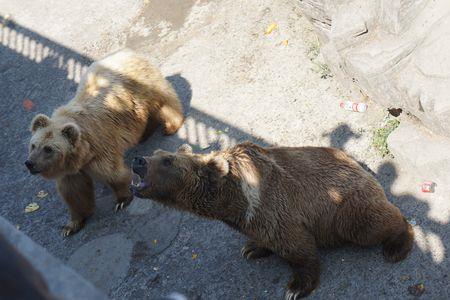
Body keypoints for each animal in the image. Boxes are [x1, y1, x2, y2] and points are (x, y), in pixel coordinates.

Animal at [25, 49, 184, 237]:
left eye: (48, 149)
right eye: (33, 145)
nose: (29, 163)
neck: (81, 154)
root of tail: (127, 51)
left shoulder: (99, 146)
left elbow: (111, 173)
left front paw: (122, 199)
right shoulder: (72, 171)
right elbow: (74, 193)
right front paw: (71, 225)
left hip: (144, 87)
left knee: (165, 101)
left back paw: (170, 126)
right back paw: (145, 134)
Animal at [131, 142, 414, 298]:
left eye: (167, 160)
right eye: (156, 152)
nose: (137, 159)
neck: (231, 200)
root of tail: (360, 166)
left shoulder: (272, 205)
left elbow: (295, 245)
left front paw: (296, 287)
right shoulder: (247, 218)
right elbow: (261, 237)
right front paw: (252, 248)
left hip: (344, 205)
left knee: (367, 224)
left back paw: (397, 245)